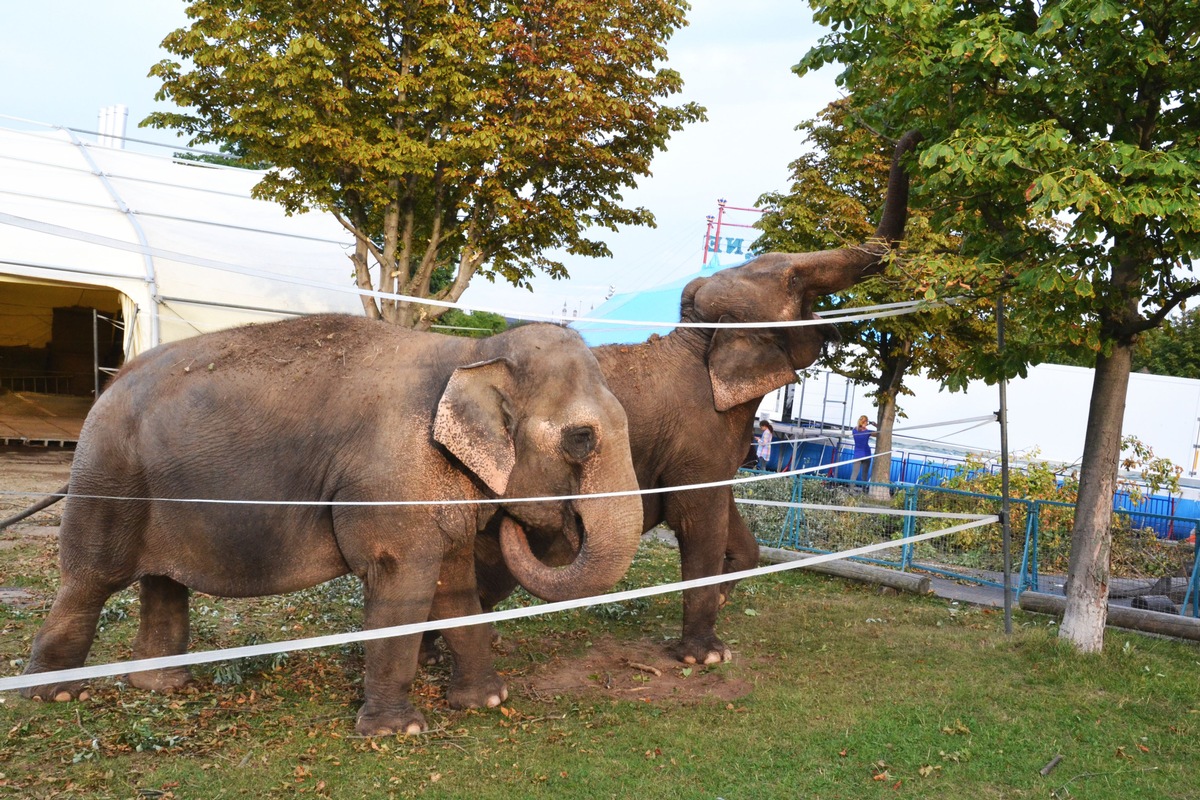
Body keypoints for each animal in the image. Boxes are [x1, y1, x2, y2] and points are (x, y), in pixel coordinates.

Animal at [14, 314, 643, 738]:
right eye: (581, 438)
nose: (547, 522)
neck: (472, 353)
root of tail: (112, 381)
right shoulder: (391, 482)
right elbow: (401, 586)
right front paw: (397, 733)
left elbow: (454, 587)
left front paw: (486, 701)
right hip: (109, 479)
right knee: (90, 580)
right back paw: (53, 695)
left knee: (162, 583)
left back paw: (161, 686)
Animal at [448, 131, 916, 666]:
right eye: (794, 280)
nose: (913, 138)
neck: (696, 339)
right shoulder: (697, 436)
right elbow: (698, 519)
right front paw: (706, 657)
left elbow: (725, 512)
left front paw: (724, 597)